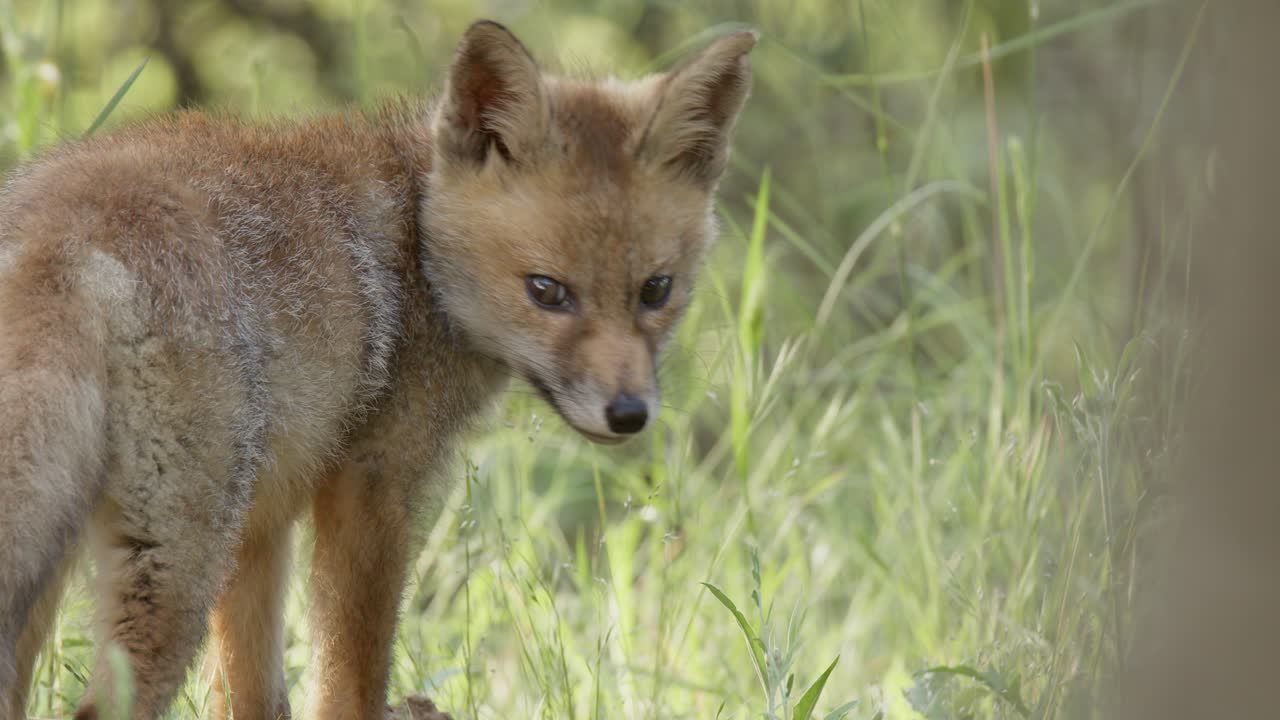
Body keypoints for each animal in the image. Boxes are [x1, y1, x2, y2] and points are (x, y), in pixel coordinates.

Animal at [0, 18, 754, 720]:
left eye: (656, 290)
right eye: (546, 291)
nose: (628, 414)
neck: (417, 242)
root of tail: (63, 228)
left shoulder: (263, 518)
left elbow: (252, 691)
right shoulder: (372, 482)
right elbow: (350, 676)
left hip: (63, 557)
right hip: (171, 560)